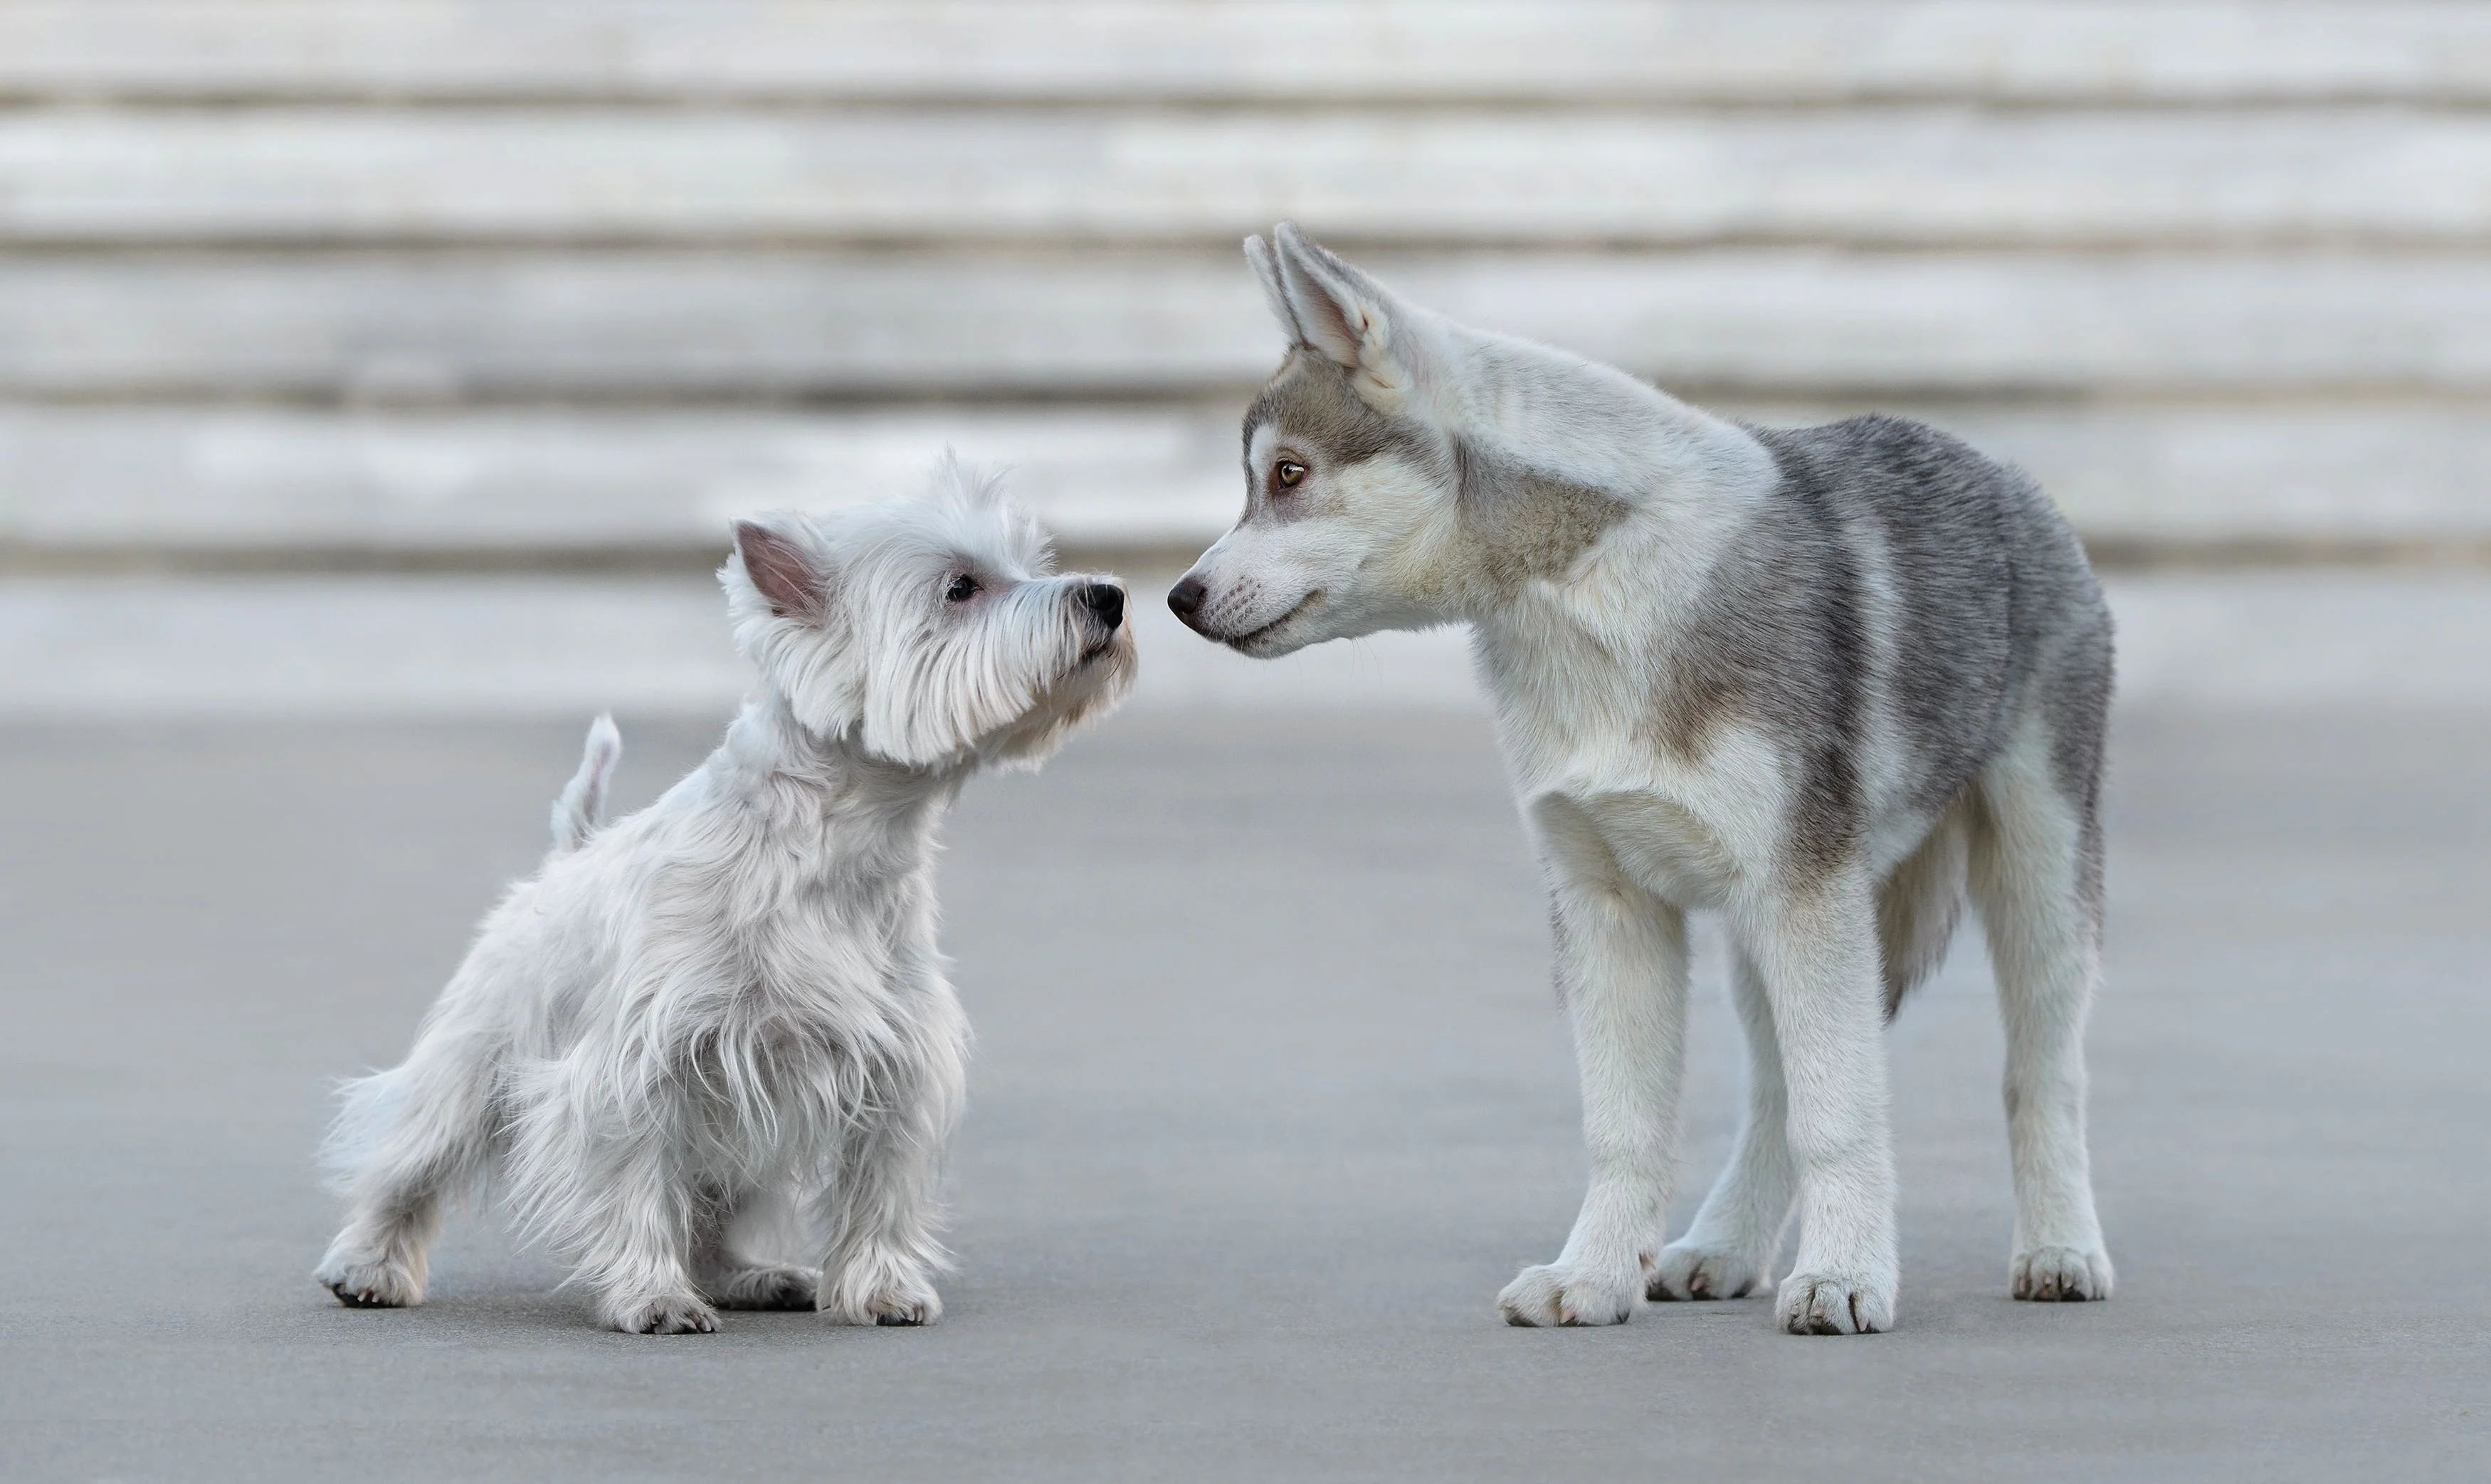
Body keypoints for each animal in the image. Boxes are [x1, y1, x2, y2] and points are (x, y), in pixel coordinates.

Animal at [311, 463, 1141, 1335]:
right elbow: (637, 1180)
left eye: (1028, 563)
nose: (1109, 595)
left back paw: (754, 1276)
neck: (838, 846)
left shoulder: (897, 1064)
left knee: (711, 1210)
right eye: (960, 587)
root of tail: (568, 854)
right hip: (477, 1058)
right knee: (409, 1156)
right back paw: (368, 1267)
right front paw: (652, 1296)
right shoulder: (638, 1065)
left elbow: (880, 1185)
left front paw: (881, 1288)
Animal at [1176, 226, 2112, 1335]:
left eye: (1287, 474)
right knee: (1771, 1094)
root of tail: (2010, 479)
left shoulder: (1803, 896)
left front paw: (1844, 1279)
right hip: (1774, 940)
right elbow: (1625, 1128)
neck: (1599, 594)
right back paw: (1720, 1248)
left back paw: (2059, 1249)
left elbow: (1839, 1115)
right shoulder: (1608, 904)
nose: (1179, 597)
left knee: (2039, 1077)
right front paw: (1591, 1276)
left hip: (2028, 888)